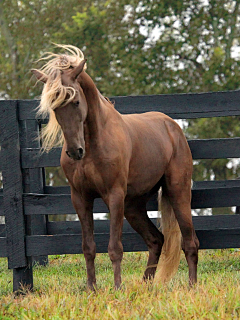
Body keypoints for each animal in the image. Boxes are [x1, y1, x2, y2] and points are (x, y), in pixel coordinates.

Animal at [32, 44, 200, 290]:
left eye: (76, 102)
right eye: (54, 107)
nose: (75, 151)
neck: (94, 142)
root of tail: (173, 128)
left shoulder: (114, 195)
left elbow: (115, 247)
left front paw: (117, 287)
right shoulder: (80, 198)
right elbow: (88, 247)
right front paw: (91, 288)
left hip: (177, 192)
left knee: (190, 242)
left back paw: (191, 286)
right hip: (133, 206)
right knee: (156, 240)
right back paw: (145, 285)